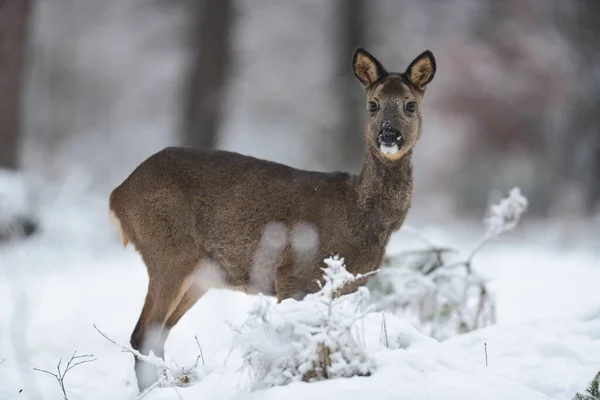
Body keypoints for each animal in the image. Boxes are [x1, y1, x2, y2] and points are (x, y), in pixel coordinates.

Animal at [109, 47, 436, 390]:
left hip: (200, 276)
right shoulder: (291, 275)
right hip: (168, 251)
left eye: (410, 105)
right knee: (142, 334)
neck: (359, 215)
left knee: (156, 336)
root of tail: (117, 195)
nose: (389, 134)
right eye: (373, 104)